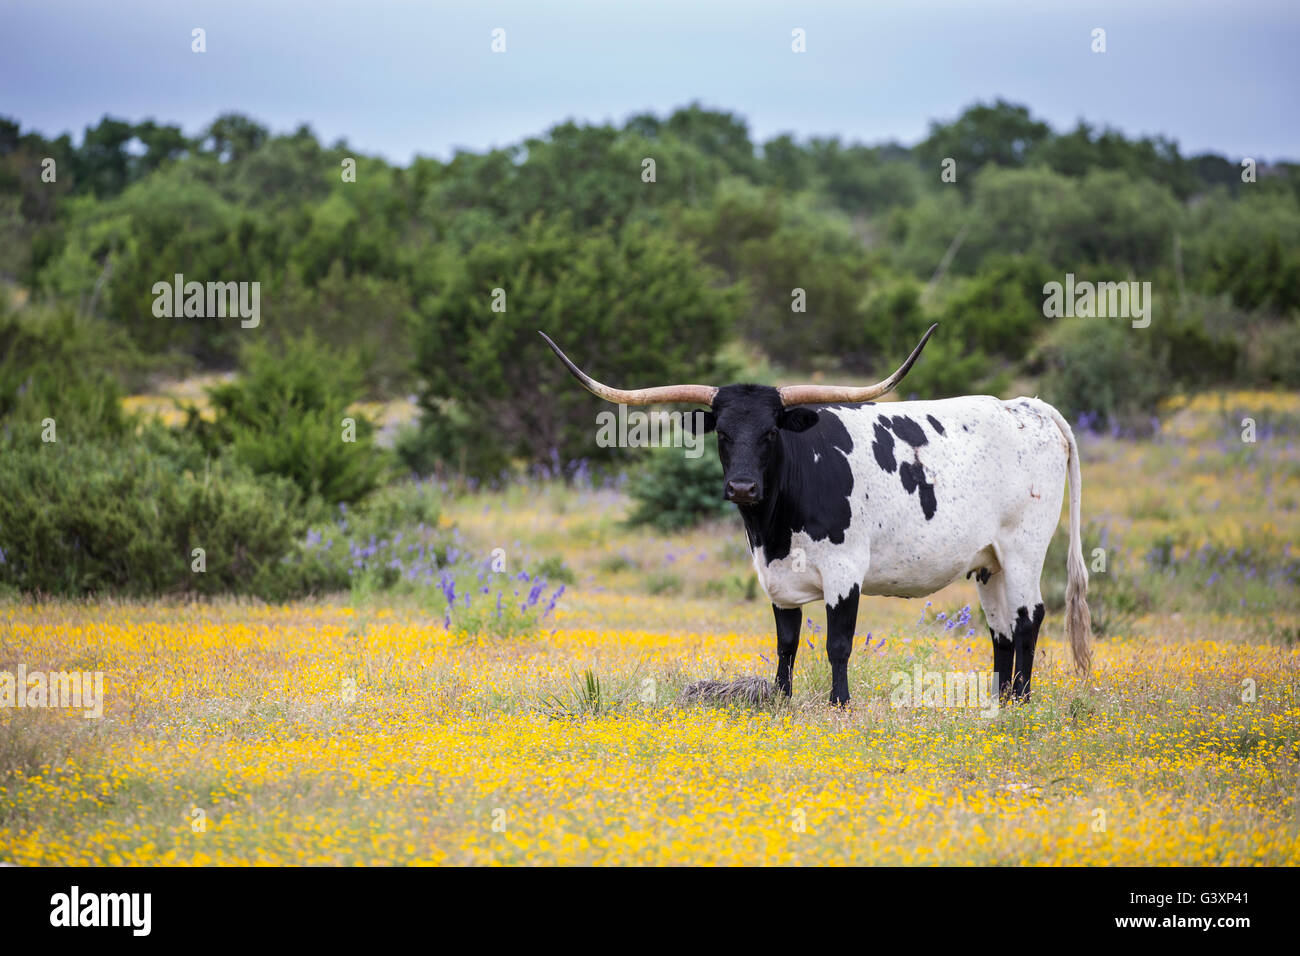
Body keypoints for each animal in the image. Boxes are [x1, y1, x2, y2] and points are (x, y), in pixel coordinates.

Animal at [543, 329, 1092, 712]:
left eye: (770, 432)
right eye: (722, 432)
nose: (742, 488)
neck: (773, 528)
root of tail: (1029, 406)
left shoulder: (844, 571)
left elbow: (838, 643)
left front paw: (839, 703)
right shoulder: (776, 577)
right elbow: (786, 643)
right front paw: (781, 698)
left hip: (1024, 548)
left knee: (1030, 618)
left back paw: (1022, 702)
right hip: (988, 560)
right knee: (1001, 628)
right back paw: (1001, 700)